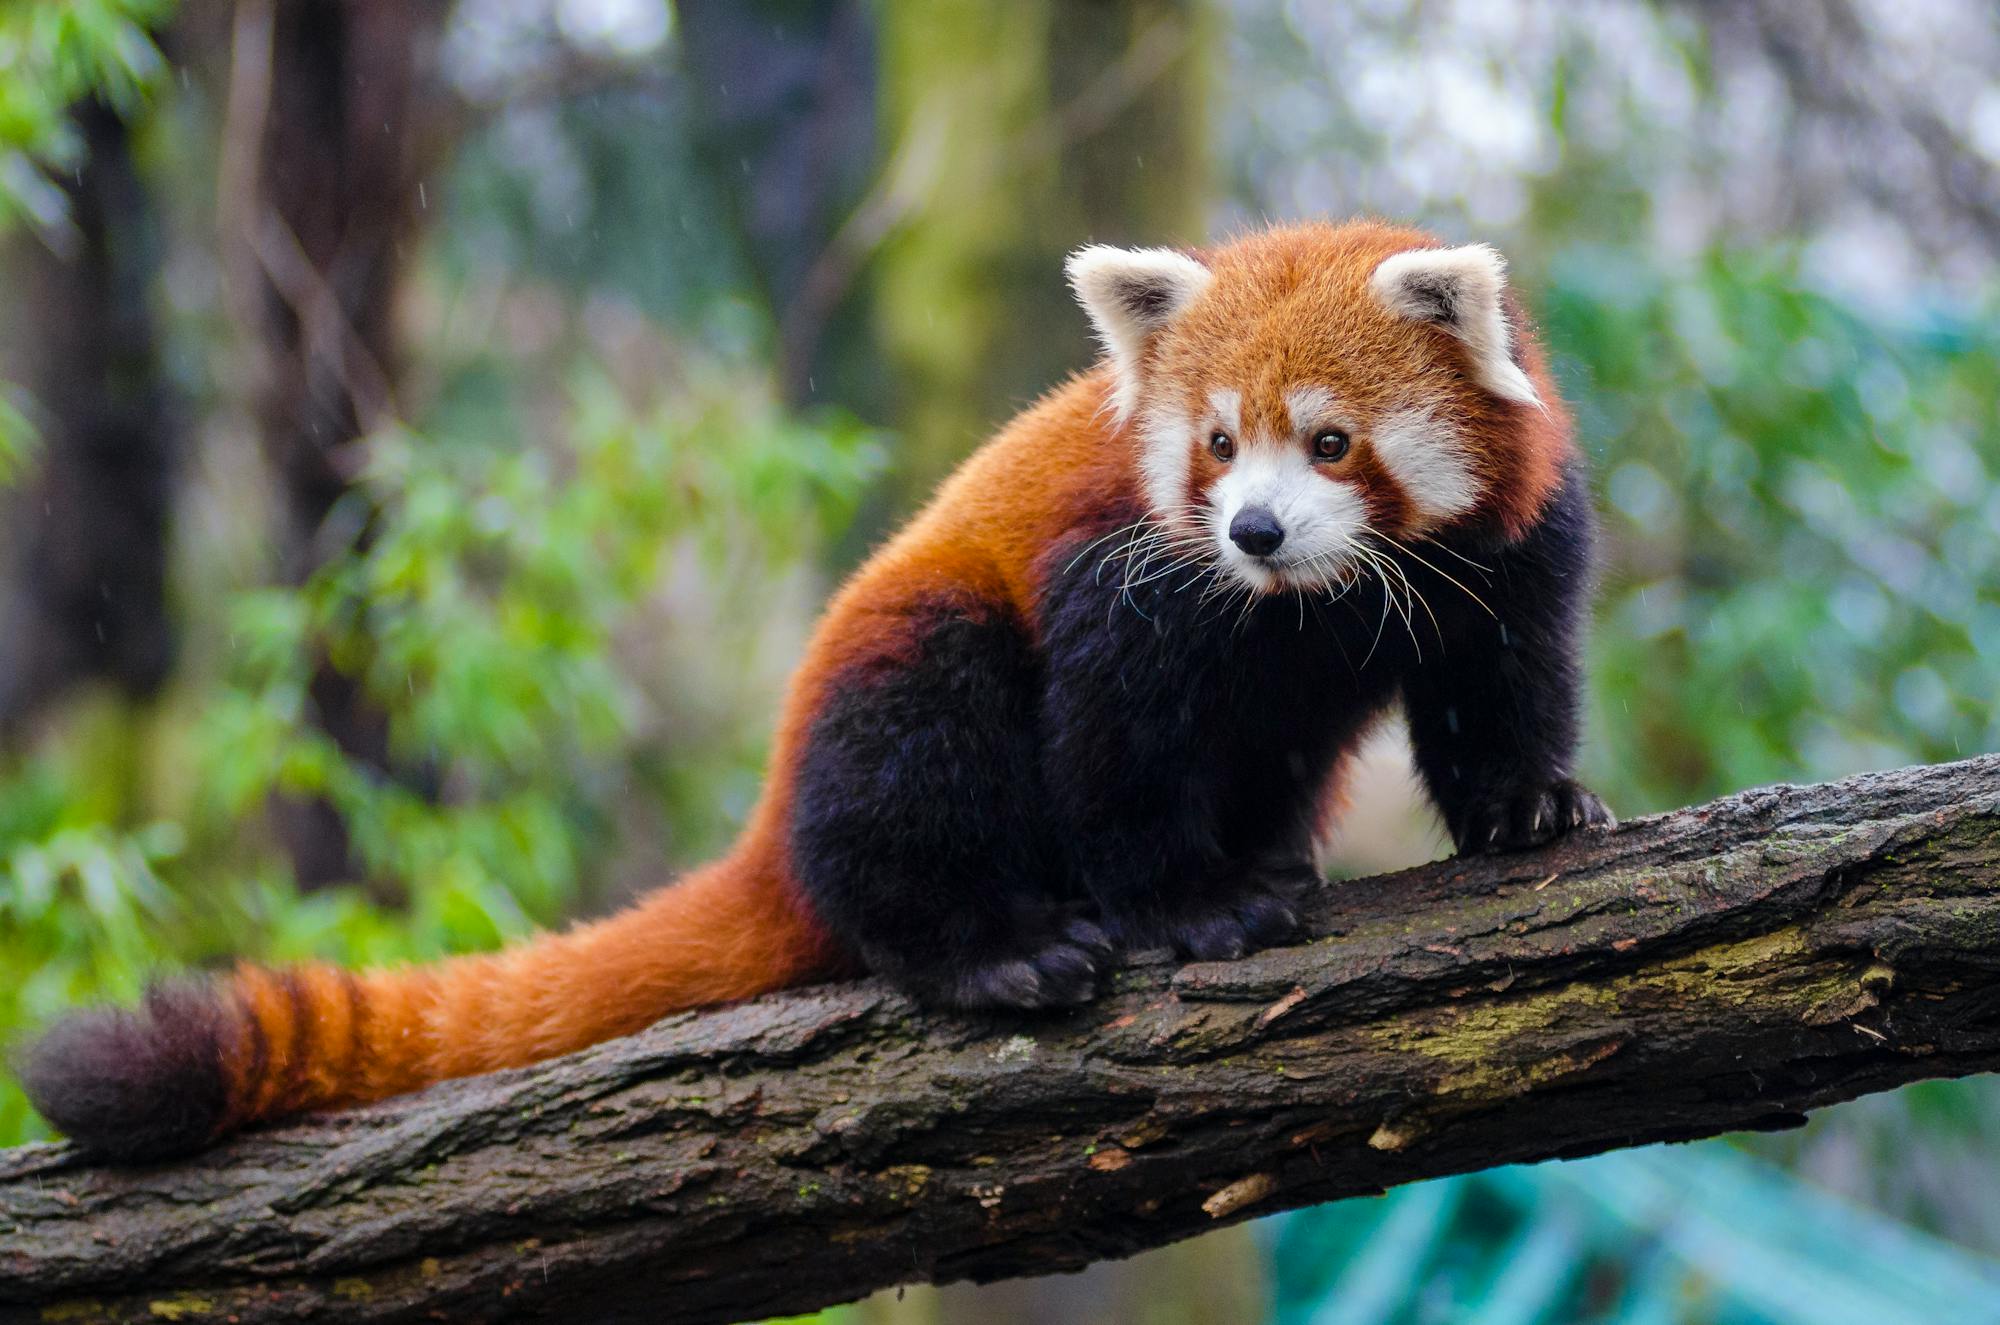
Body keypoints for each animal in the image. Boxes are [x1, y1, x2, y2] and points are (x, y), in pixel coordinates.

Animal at [15, 220, 1608, 1160]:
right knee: (914, 757)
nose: (1255, 532)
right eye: (1217, 444)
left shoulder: (1506, 543)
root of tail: (770, 818)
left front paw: (1528, 803)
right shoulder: (1126, 573)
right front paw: (1189, 903)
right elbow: (1115, 747)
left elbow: (1501, 682)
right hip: (899, 664)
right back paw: (988, 946)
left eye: (1329, 442)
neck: (1305, 608)